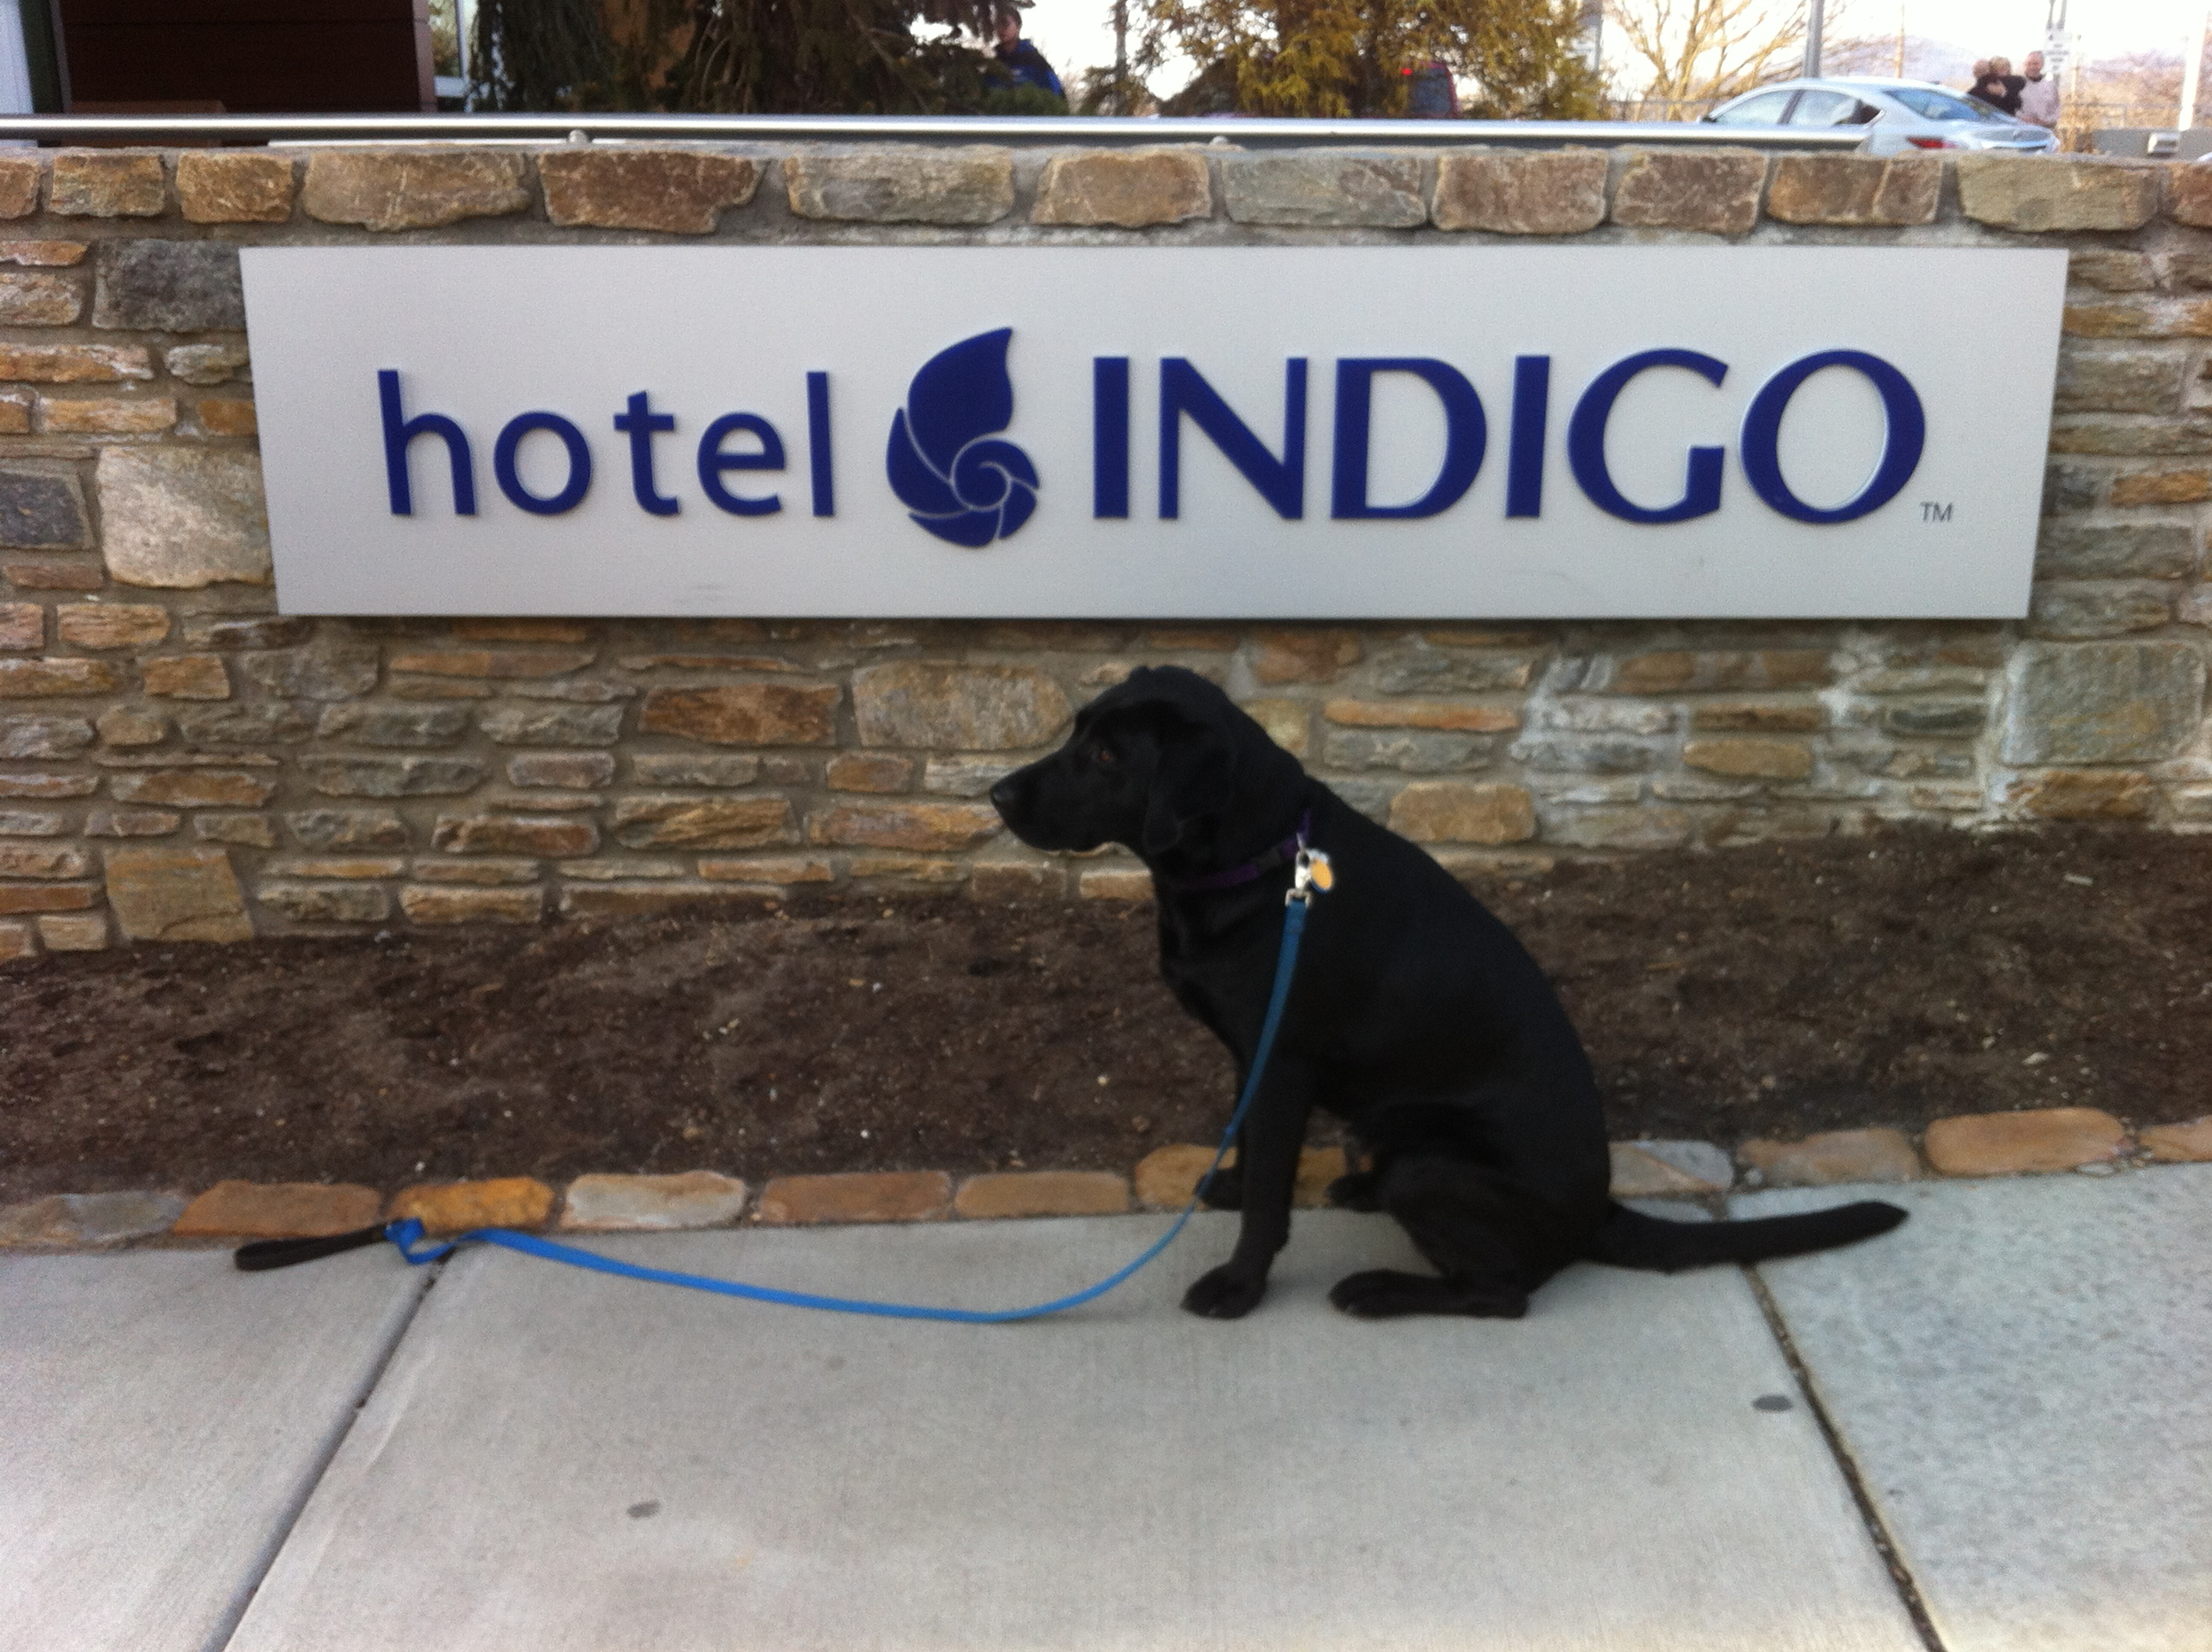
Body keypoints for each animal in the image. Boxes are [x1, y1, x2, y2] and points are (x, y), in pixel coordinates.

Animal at [989, 666, 1906, 1320]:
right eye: (1077, 732)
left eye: (1109, 757)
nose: (996, 793)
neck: (1259, 859)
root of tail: (1597, 1210)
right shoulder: (1254, 1054)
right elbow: (1248, 1145)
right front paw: (1233, 1185)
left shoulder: (1282, 1060)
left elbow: (1269, 1200)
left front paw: (1240, 1286)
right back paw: (1359, 1190)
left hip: (1433, 1167)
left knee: (1503, 1293)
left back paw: (1381, 1289)